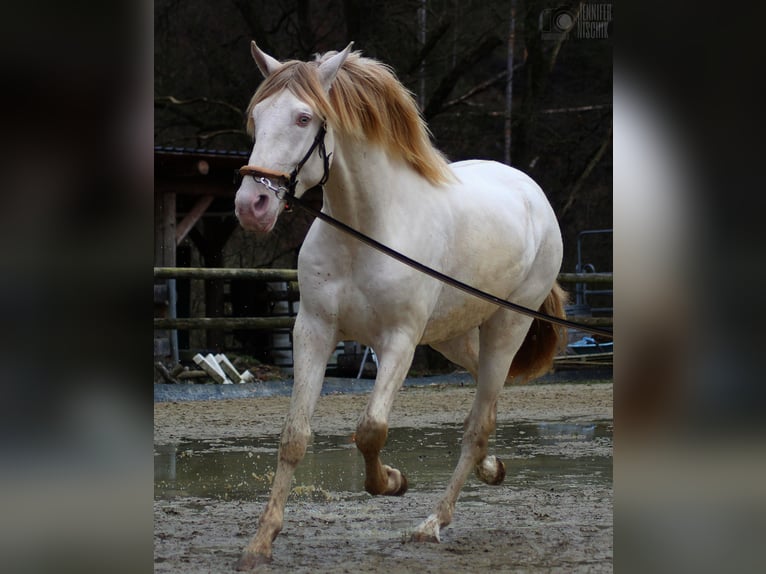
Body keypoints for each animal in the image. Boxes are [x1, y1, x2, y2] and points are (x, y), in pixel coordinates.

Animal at [232, 41, 564, 572]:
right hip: (453, 336)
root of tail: (530, 190)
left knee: (478, 422)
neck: (366, 230)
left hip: (507, 327)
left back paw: (432, 524)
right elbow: (294, 436)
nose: (252, 206)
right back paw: (491, 468)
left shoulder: (399, 343)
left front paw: (391, 481)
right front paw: (261, 541)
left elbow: (371, 430)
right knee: (485, 399)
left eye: (304, 117)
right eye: (256, 118)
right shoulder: (313, 331)